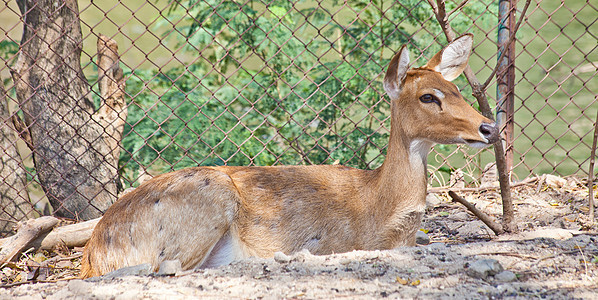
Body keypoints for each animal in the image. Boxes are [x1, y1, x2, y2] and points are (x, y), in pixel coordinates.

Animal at [81, 34, 502, 278]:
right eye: (428, 96)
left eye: (457, 88)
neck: (379, 207)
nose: (489, 127)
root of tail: (95, 252)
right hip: (204, 203)